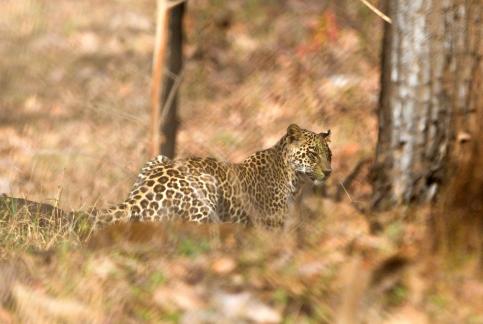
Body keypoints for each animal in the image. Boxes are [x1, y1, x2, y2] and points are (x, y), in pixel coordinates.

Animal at [91, 124, 332, 228]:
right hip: (207, 188)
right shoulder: (271, 224)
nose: (329, 172)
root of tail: (140, 195)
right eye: (313, 154)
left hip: (158, 158)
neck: (294, 177)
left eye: (329, 155)